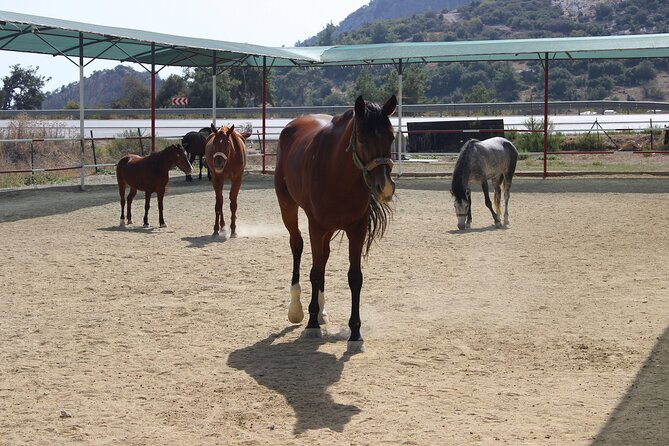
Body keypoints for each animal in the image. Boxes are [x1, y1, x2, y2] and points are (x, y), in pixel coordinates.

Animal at [272, 94, 396, 352]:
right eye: (362, 138)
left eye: (391, 136)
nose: (385, 188)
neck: (337, 173)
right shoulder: (316, 226)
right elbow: (315, 273)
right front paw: (311, 325)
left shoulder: (356, 229)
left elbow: (354, 277)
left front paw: (355, 334)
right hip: (288, 207)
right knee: (297, 246)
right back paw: (297, 309)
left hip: (327, 230)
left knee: (324, 256)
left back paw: (321, 311)